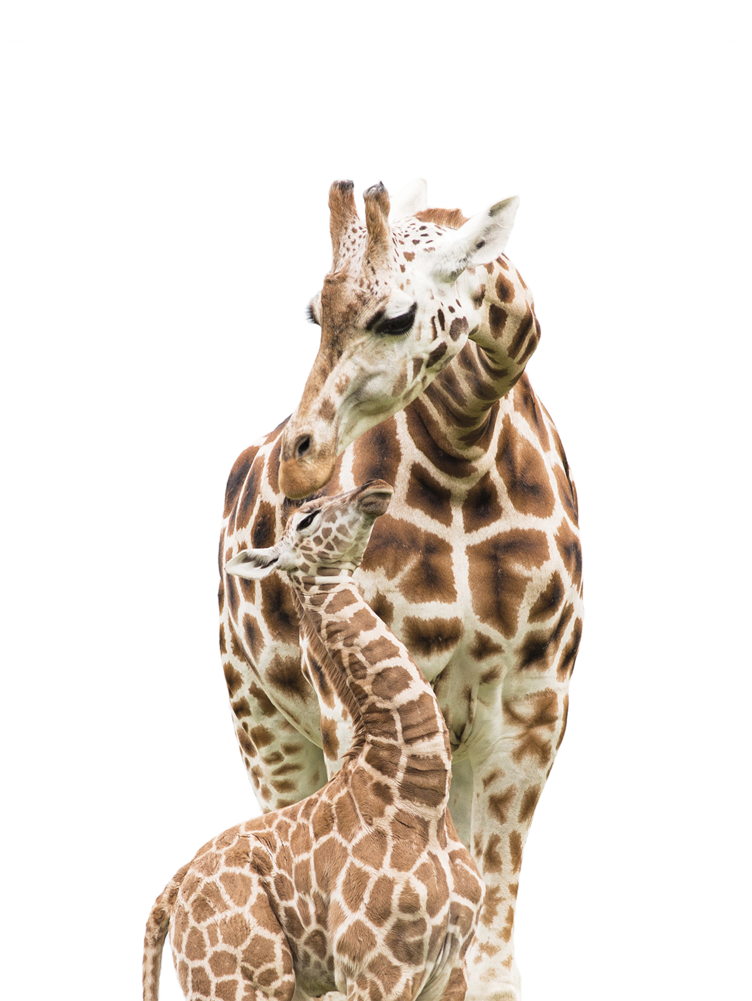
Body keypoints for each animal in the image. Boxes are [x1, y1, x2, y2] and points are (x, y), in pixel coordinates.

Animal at [145, 481, 484, 1001]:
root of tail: (174, 887)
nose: (375, 489)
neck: (420, 800)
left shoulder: (451, 970)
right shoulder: (375, 966)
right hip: (244, 976)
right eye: (305, 520)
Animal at [219, 180, 583, 1001]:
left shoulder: (533, 708)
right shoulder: (345, 702)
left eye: (396, 317)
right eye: (314, 311)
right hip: (263, 726)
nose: (301, 459)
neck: (466, 453)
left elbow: (486, 960)